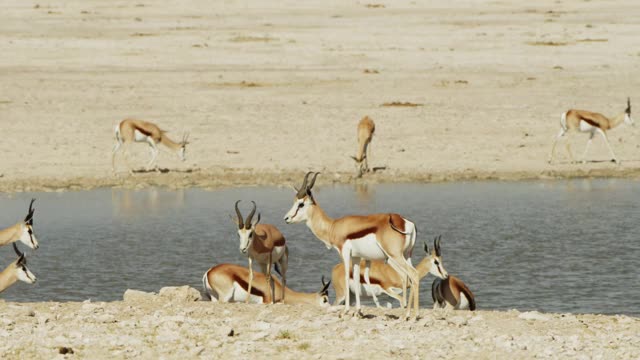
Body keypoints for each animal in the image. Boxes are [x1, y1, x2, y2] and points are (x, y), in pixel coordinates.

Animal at [284, 172, 440, 320]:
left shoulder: (344, 253)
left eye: (301, 204)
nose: (286, 218)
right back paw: (409, 314)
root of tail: (405, 222)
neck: (333, 226)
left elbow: (347, 277)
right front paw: (358, 311)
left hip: (395, 256)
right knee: (410, 276)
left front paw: (345, 311)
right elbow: (356, 277)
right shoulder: (357, 257)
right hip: (407, 255)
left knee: (412, 274)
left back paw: (411, 315)